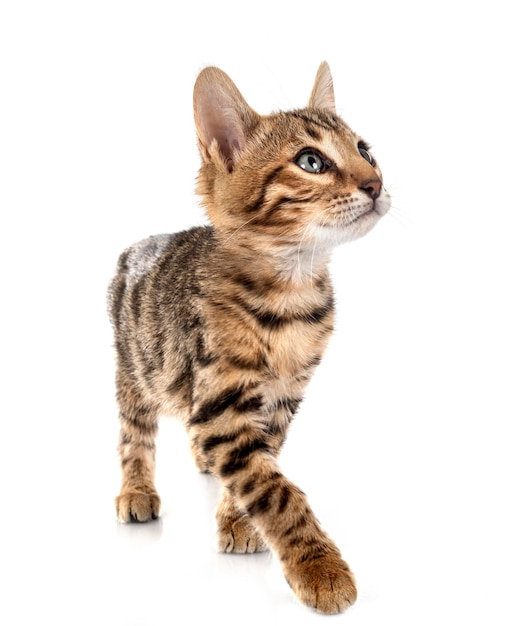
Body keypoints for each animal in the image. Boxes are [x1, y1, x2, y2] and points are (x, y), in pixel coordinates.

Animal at [108, 62, 390, 608]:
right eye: (311, 161)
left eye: (365, 150)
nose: (377, 182)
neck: (289, 294)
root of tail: (137, 246)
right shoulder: (221, 405)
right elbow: (276, 490)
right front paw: (320, 568)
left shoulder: (280, 399)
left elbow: (264, 464)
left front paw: (237, 520)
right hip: (135, 369)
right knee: (135, 433)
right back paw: (136, 491)